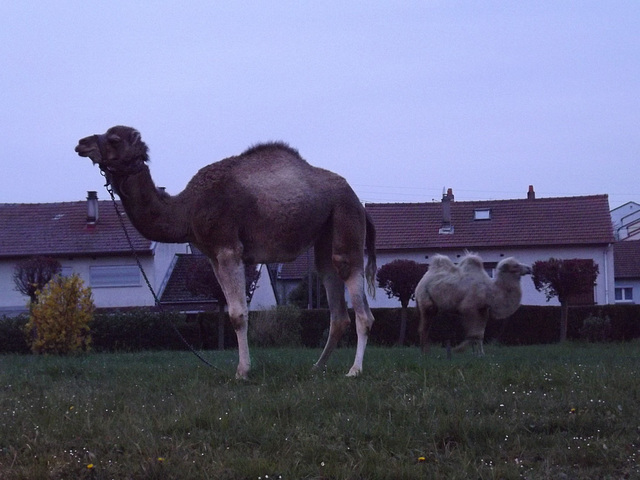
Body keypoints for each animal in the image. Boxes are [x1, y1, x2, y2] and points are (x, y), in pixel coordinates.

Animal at [75, 126, 378, 378]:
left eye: (114, 139)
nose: (81, 143)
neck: (186, 209)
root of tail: (359, 203)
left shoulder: (228, 247)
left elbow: (237, 314)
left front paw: (242, 372)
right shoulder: (213, 256)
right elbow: (234, 308)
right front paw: (243, 368)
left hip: (345, 220)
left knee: (361, 306)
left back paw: (355, 371)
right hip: (325, 236)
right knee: (335, 302)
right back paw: (316, 367)